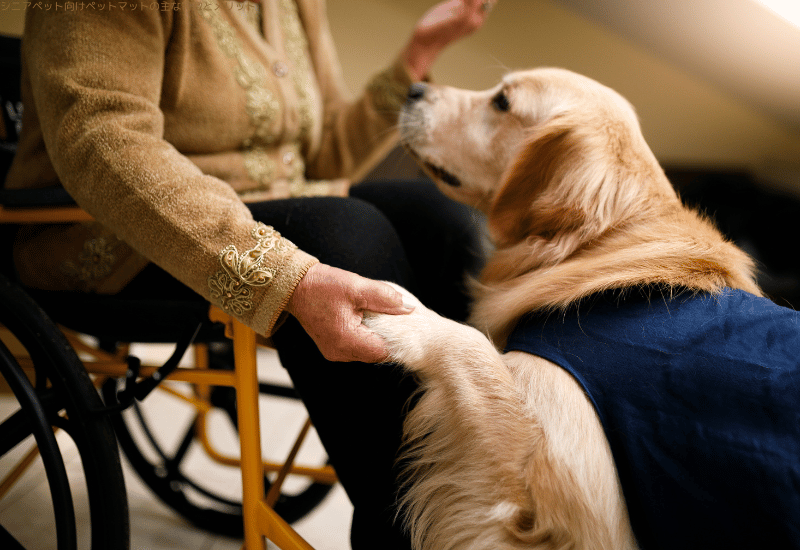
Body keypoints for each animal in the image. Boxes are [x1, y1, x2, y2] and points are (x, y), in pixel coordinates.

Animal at [364, 69, 800, 550]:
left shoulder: (589, 507)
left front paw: (404, 317)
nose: (413, 88)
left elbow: (473, 345)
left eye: (502, 102)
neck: (601, 244)